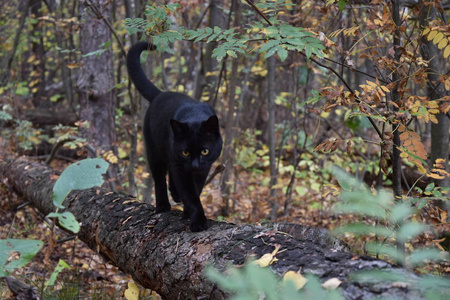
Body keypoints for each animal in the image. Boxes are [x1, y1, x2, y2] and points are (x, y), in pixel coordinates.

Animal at [126, 41, 221, 232]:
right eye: (186, 152)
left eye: (205, 151)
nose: (194, 164)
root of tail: (161, 94)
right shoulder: (180, 166)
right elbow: (190, 194)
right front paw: (198, 221)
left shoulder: (204, 168)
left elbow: (196, 190)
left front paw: (187, 212)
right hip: (154, 153)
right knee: (159, 179)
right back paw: (163, 205)